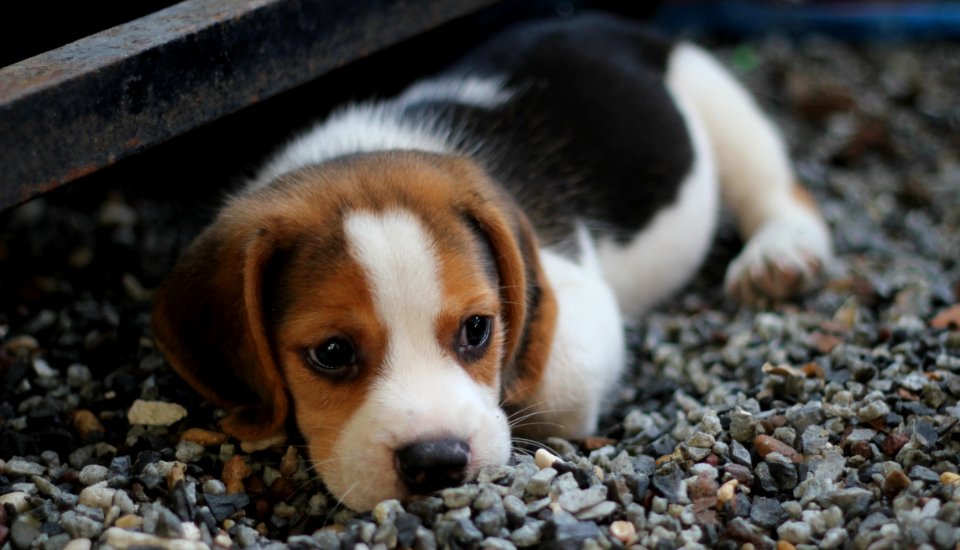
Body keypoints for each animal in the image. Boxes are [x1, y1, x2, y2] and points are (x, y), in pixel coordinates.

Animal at [152, 14, 832, 512]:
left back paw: (781, 254)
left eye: (478, 330)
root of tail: (604, 22)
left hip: (715, 96)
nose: (437, 462)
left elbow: (548, 380)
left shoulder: (576, 300)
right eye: (332, 353)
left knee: (776, 186)